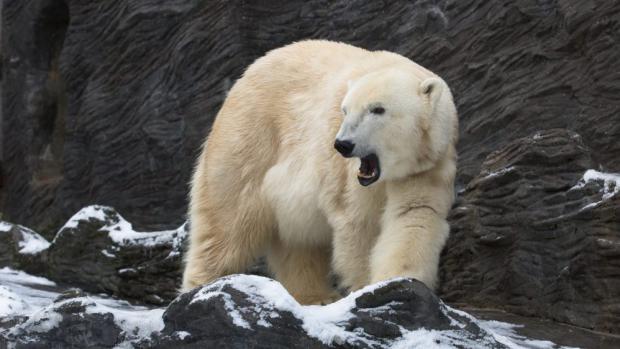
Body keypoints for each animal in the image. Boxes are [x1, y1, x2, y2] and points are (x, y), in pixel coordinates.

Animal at [182, 39, 458, 304]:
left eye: (378, 109)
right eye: (345, 110)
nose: (343, 144)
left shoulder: (426, 165)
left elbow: (413, 215)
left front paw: (398, 281)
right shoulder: (345, 173)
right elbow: (359, 224)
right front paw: (365, 286)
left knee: (298, 242)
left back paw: (316, 296)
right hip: (247, 141)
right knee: (227, 223)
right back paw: (200, 286)